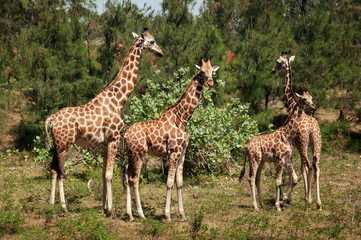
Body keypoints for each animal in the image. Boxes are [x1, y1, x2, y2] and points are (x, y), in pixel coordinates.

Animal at [43, 28, 163, 216]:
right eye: (152, 41)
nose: (161, 52)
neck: (118, 100)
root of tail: (51, 119)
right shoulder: (114, 137)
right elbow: (109, 174)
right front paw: (111, 210)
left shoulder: (105, 142)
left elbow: (102, 173)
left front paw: (105, 207)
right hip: (64, 143)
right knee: (60, 170)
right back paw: (63, 206)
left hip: (56, 144)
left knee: (52, 169)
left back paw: (51, 204)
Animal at [123, 58, 219, 221]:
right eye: (202, 71)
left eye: (212, 70)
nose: (211, 82)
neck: (183, 119)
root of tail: (124, 135)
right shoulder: (174, 151)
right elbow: (169, 182)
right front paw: (167, 215)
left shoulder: (182, 153)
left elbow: (179, 183)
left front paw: (182, 214)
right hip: (139, 154)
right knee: (133, 179)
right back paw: (141, 214)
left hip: (131, 154)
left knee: (127, 176)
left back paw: (130, 214)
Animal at [270, 52, 320, 210]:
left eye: (277, 62)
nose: (272, 70)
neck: (291, 104)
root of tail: (312, 129)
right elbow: (300, 169)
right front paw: (303, 195)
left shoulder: (293, 146)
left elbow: (299, 169)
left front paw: (288, 198)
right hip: (316, 144)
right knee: (316, 166)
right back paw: (318, 202)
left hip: (304, 144)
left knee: (309, 165)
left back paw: (308, 199)